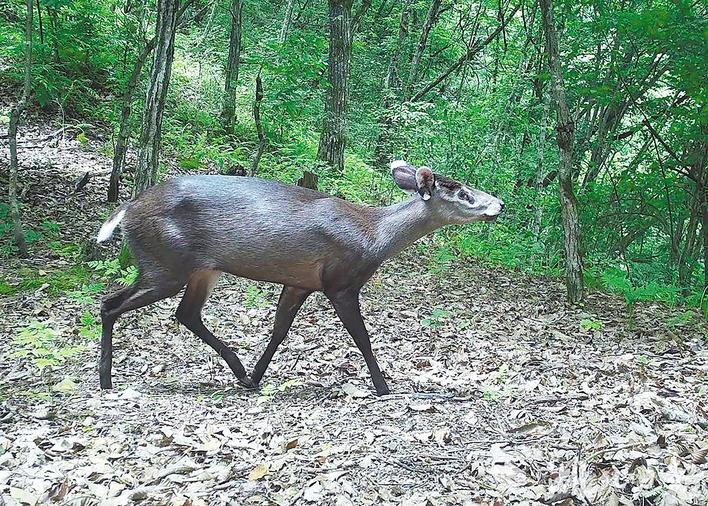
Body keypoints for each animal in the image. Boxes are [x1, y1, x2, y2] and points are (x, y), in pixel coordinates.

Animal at [95, 160, 504, 396]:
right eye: (463, 192)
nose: (499, 204)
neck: (374, 236)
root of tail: (128, 208)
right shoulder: (340, 281)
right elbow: (362, 338)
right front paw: (384, 387)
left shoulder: (300, 282)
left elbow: (279, 331)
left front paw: (257, 377)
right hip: (166, 262)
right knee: (109, 303)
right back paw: (105, 379)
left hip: (201, 268)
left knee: (186, 313)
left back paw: (240, 373)